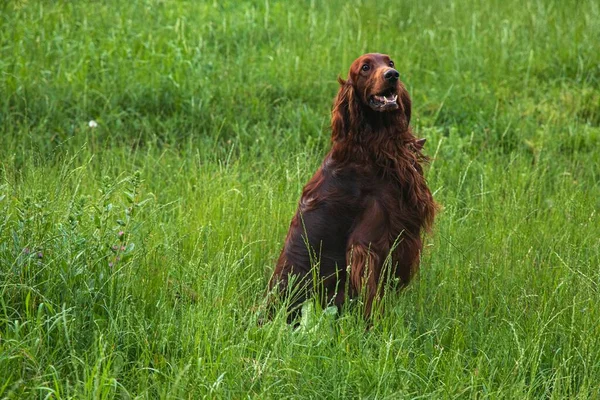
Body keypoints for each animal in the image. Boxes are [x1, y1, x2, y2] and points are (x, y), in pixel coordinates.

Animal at [270, 54, 434, 322]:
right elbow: (371, 295)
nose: (392, 75)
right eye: (365, 67)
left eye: (390, 62)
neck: (375, 145)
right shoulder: (366, 244)